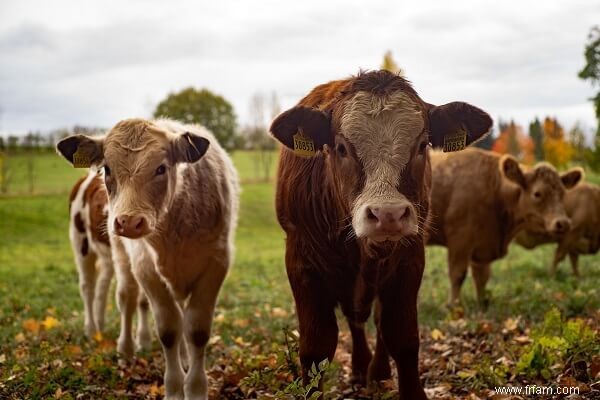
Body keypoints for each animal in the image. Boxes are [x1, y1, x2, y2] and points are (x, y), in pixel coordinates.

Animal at [67, 172, 151, 356]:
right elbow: (127, 295)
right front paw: (126, 350)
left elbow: (144, 300)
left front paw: (144, 341)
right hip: (81, 241)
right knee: (87, 287)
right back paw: (91, 330)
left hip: (107, 255)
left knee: (102, 284)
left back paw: (100, 325)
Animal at [270, 70, 492, 398]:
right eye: (341, 148)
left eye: (422, 145)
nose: (388, 215)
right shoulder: (302, 264)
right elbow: (316, 348)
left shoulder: (409, 260)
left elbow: (402, 337)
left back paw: (377, 371)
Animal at [426, 148, 580, 308]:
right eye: (537, 193)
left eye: (562, 194)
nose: (563, 222)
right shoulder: (460, 240)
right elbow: (458, 274)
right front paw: (454, 307)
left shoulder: (483, 245)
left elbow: (482, 277)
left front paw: (482, 304)